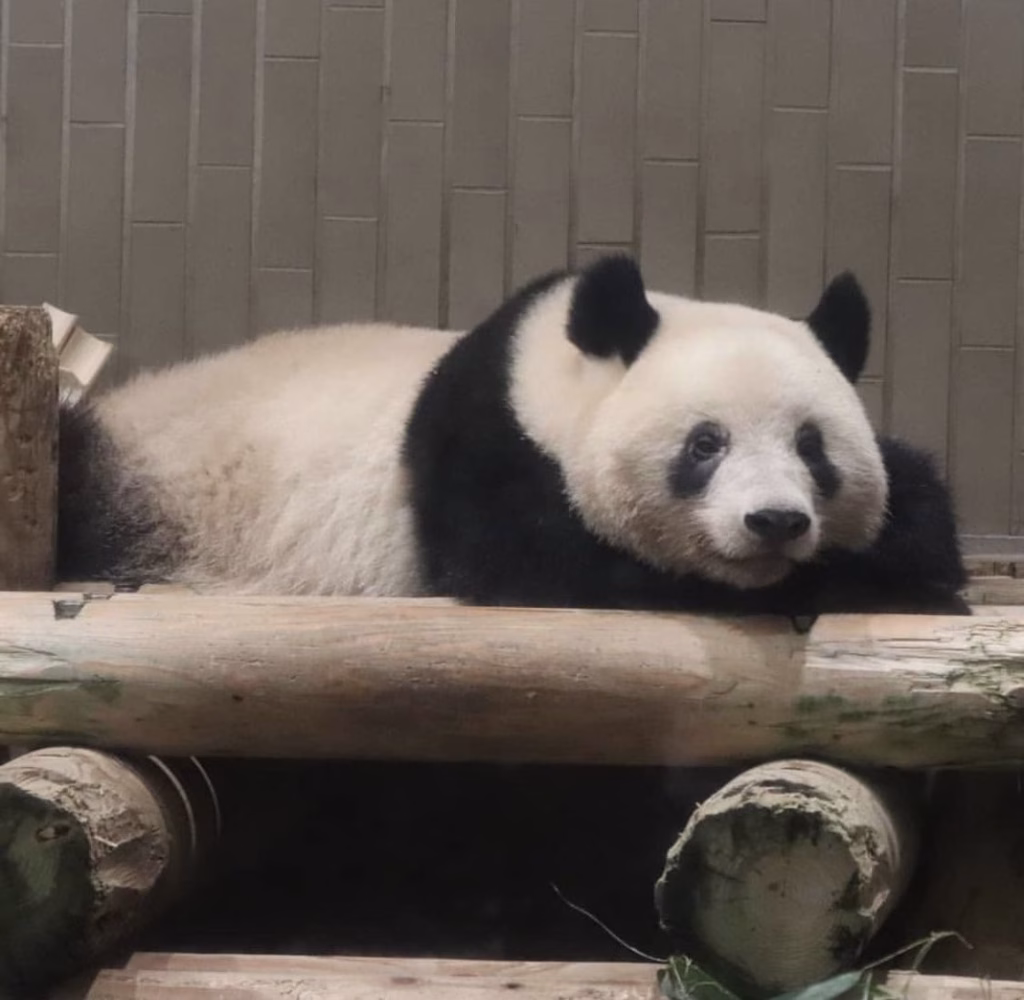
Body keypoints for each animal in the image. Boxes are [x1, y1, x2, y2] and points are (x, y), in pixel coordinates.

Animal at [57, 254, 968, 619]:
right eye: (704, 444)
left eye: (813, 448)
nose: (775, 522)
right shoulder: (486, 454)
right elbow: (561, 568)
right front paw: (857, 584)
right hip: (152, 483)